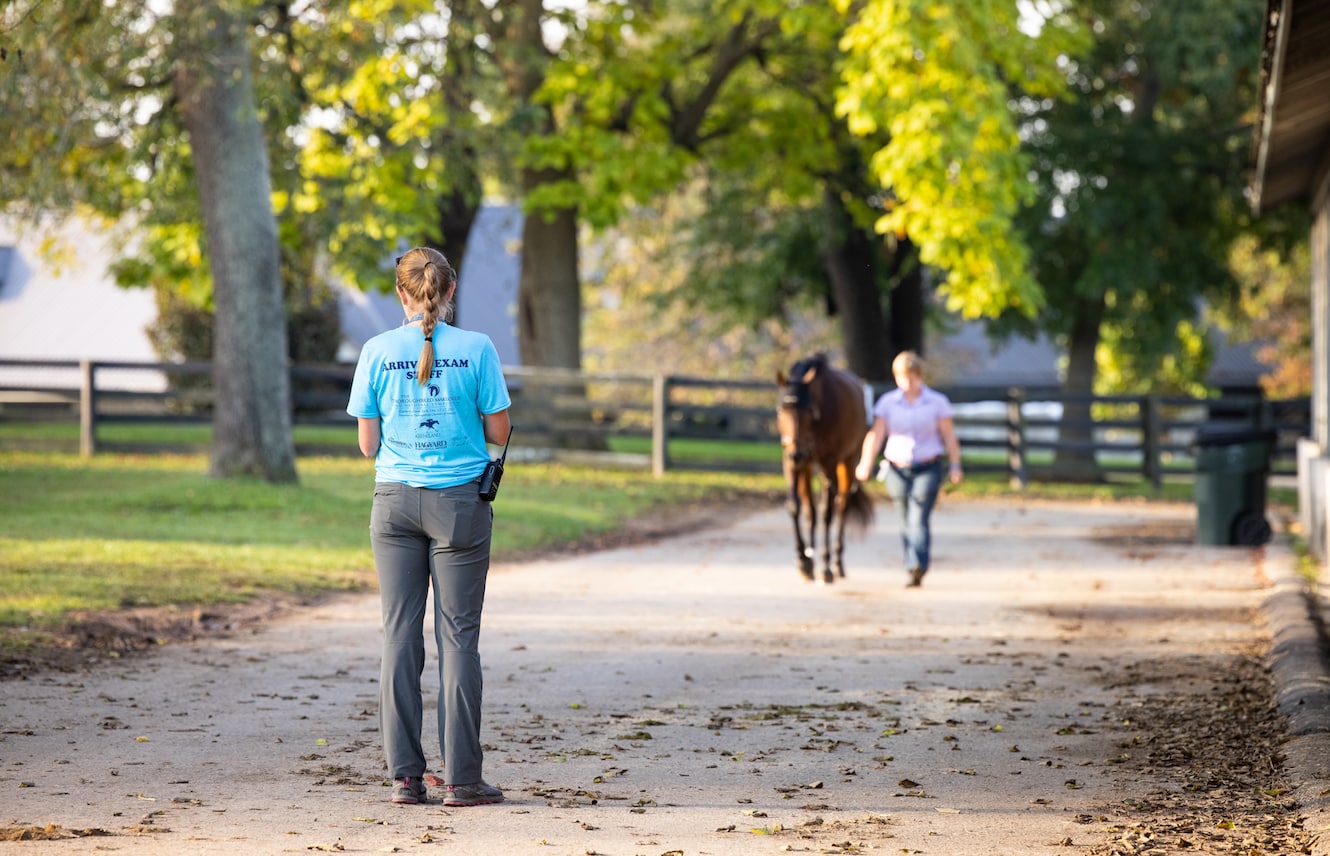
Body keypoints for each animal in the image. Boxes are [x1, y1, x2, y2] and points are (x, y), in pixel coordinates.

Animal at [776, 350, 877, 584]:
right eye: (782, 410)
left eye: (809, 411)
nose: (796, 453)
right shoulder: (794, 464)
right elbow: (797, 507)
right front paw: (804, 561)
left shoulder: (828, 463)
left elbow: (826, 513)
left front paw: (825, 567)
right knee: (812, 511)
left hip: (847, 462)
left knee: (841, 506)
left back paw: (837, 563)